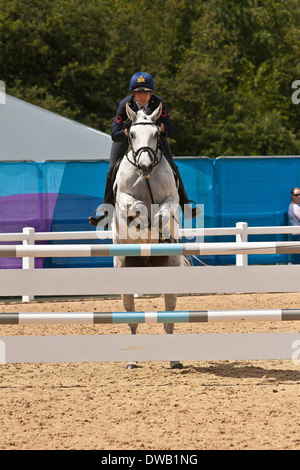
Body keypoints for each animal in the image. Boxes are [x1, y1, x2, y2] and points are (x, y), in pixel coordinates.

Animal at [112, 103, 183, 370]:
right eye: (131, 134)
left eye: (155, 134)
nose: (144, 167)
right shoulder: (123, 198)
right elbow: (138, 207)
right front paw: (142, 225)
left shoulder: (171, 198)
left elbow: (163, 211)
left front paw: (160, 231)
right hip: (125, 270)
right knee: (131, 316)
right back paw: (132, 360)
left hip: (168, 269)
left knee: (169, 316)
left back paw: (174, 360)